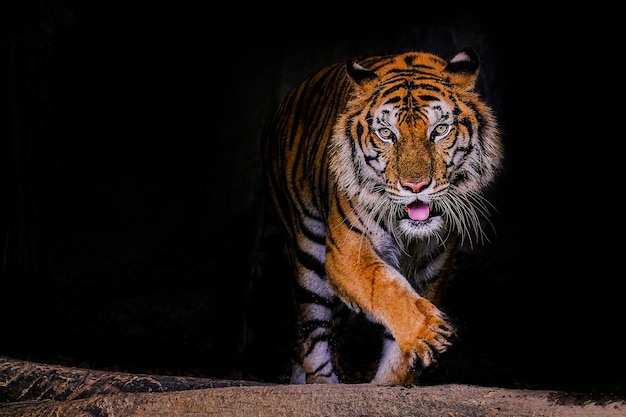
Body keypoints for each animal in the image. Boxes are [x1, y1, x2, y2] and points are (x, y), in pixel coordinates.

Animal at [258, 47, 502, 386]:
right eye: (386, 134)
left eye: (440, 130)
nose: (415, 186)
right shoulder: (347, 252)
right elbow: (387, 288)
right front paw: (428, 333)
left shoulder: (433, 266)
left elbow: (399, 345)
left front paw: (393, 378)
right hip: (309, 254)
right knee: (313, 336)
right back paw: (323, 385)